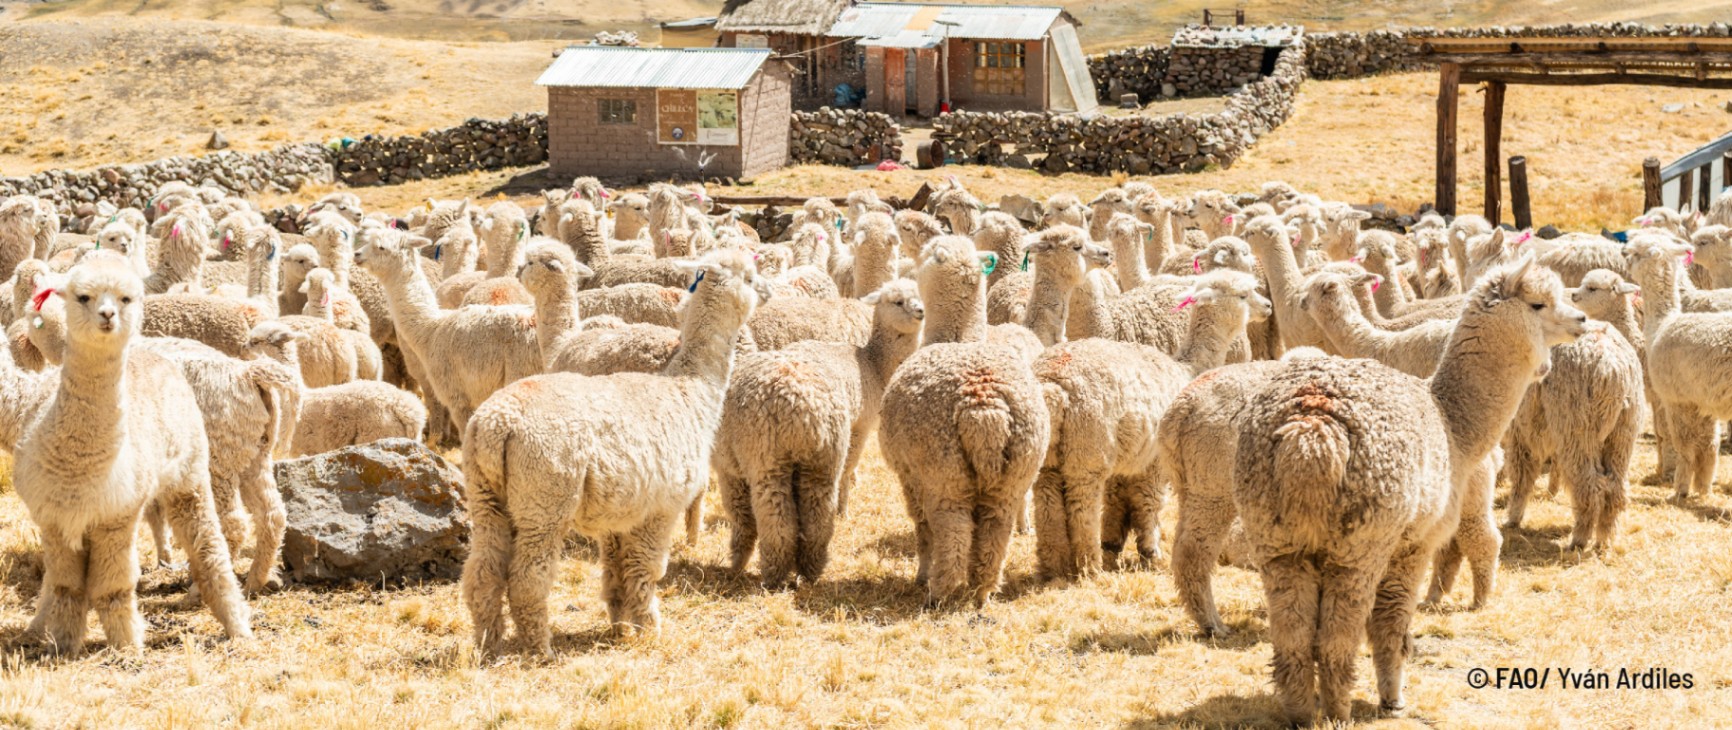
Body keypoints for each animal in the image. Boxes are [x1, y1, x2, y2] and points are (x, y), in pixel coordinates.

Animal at [14, 256, 251, 652]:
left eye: (126, 297)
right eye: (83, 296)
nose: (108, 314)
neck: (78, 463)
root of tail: (154, 354)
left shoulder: (117, 516)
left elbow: (113, 586)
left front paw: (126, 647)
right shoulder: (56, 519)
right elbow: (66, 587)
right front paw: (62, 644)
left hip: (190, 476)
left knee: (209, 546)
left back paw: (238, 627)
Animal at [460, 249, 761, 654]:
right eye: (751, 277)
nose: (768, 290)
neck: (690, 389)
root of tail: (496, 422)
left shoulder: (620, 512)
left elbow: (616, 568)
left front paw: (620, 624)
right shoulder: (660, 506)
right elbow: (646, 568)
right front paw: (649, 628)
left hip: (486, 495)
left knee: (482, 570)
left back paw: (488, 642)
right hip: (544, 497)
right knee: (526, 577)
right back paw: (540, 647)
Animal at [714, 279, 925, 588]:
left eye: (919, 295)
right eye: (897, 301)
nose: (921, 311)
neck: (873, 364)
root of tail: (802, 404)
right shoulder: (860, 426)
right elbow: (849, 469)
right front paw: (844, 509)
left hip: (782, 457)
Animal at [878, 236, 1049, 606]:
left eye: (926, 252)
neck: (956, 336)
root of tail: (984, 408)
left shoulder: (910, 476)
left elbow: (922, 528)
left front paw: (921, 573)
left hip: (944, 471)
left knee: (952, 531)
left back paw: (938, 591)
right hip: (1015, 472)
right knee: (994, 532)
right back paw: (982, 589)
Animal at [1234, 258, 1588, 722]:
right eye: (1539, 303)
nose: (1582, 319)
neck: (1454, 425)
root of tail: (1311, 430)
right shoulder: (1413, 542)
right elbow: (1392, 623)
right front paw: (1393, 696)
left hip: (1276, 537)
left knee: (1291, 634)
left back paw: (1300, 713)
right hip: (1360, 541)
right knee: (1338, 633)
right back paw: (1339, 710)